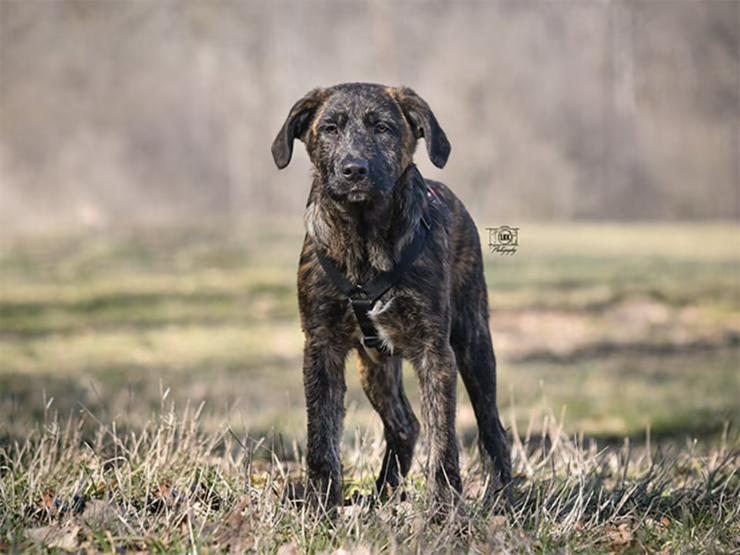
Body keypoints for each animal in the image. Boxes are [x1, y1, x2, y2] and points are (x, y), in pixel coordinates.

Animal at [274, 82, 516, 512]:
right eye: (330, 128)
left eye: (383, 128)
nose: (354, 170)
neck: (363, 241)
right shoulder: (321, 346)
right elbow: (321, 436)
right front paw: (321, 506)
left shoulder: (434, 350)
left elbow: (444, 438)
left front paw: (443, 509)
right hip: (375, 365)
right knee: (405, 423)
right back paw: (385, 493)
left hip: (473, 342)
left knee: (491, 427)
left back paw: (502, 498)